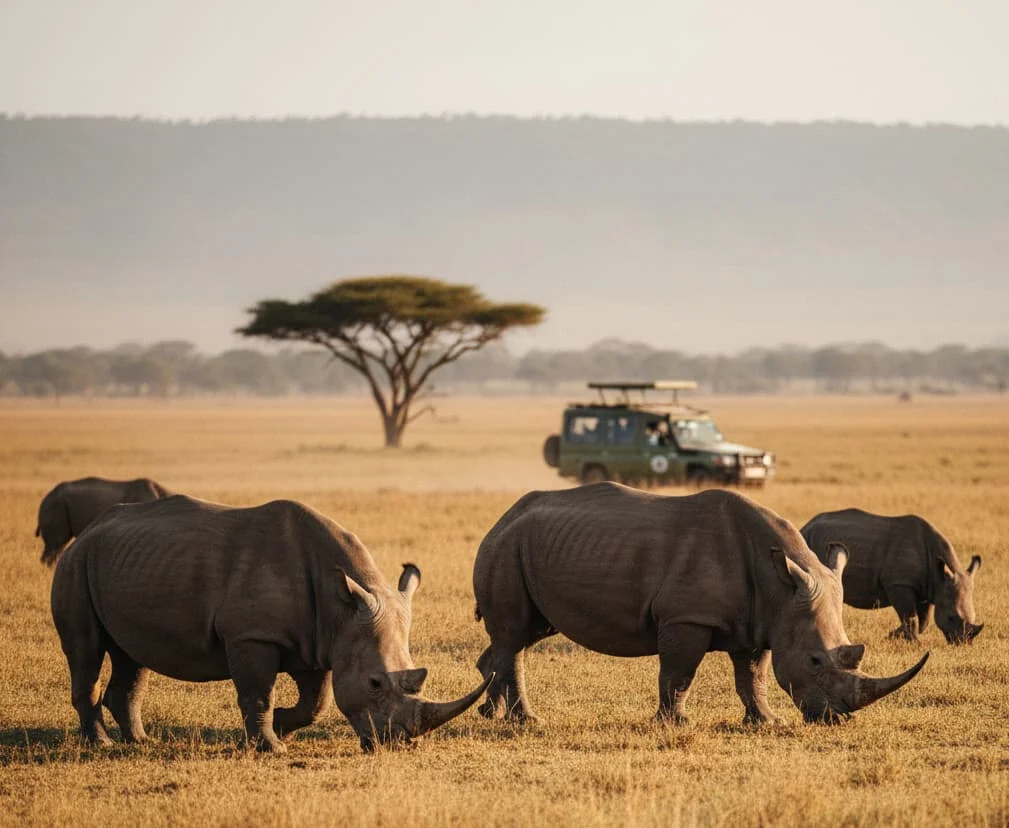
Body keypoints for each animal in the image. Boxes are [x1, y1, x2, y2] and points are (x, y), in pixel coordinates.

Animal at [50, 494, 489, 752]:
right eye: (375, 684)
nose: (398, 744)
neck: (340, 605)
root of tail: (87, 532)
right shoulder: (252, 636)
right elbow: (258, 693)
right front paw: (271, 747)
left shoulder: (322, 639)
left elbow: (316, 702)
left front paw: (282, 726)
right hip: (75, 565)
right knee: (87, 651)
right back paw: (102, 747)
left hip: (125, 564)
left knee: (132, 655)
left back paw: (141, 742)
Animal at [472, 483, 928, 725]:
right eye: (815, 661)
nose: (838, 717)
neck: (780, 584)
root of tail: (501, 517)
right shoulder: (686, 617)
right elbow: (679, 673)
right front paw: (674, 724)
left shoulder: (762, 619)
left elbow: (752, 675)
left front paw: (766, 722)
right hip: (505, 547)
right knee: (514, 636)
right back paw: (527, 721)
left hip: (529, 547)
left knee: (521, 635)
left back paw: (489, 713)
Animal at [801, 508, 983, 645]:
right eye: (951, 618)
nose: (962, 643)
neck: (939, 575)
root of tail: (805, 526)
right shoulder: (899, 584)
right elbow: (910, 617)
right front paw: (911, 643)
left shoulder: (930, 587)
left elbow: (923, 620)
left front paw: (894, 636)